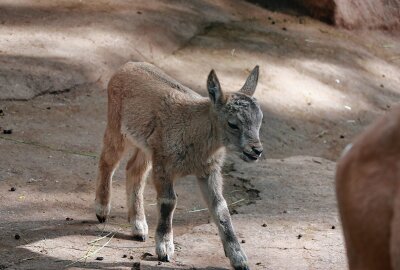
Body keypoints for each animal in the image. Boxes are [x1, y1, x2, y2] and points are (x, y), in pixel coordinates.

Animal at [94, 62, 262, 268]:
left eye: (260, 121)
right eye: (232, 123)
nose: (256, 150)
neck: (194, 131)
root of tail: (128, 66)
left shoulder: (208, 171)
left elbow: (220, 208)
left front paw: (239, 258)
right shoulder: (164, 166)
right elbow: (169, 201)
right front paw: (165, 248)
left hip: (146, 147)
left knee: (134, 171)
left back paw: (138, 226)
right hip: (117, 126)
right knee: (107, 161)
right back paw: (102, 210)